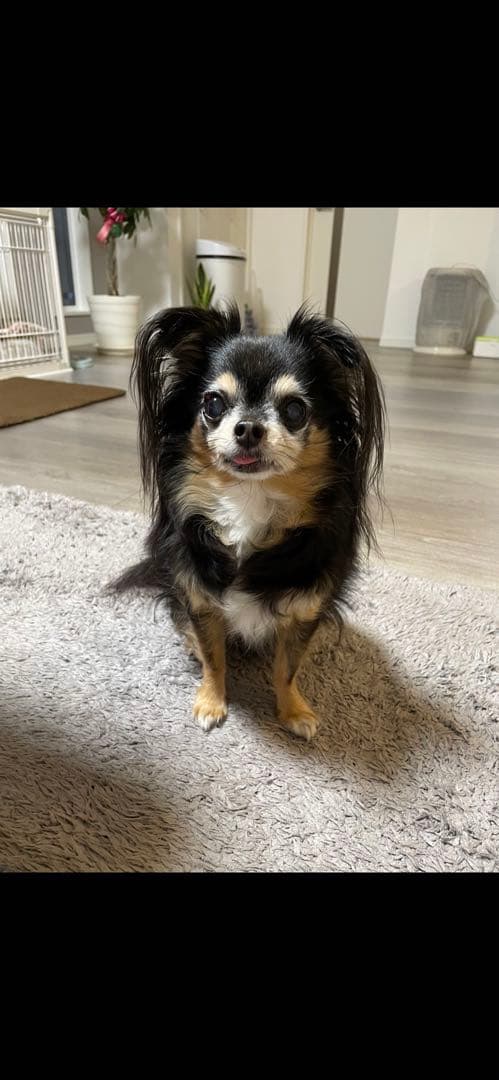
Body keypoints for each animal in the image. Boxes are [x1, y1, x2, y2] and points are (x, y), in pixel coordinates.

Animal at [114, 304, 384, 740]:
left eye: (295, 410)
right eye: (213, 404)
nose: (248, 428)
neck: (250, 499)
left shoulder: (304, 610)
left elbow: (287, 669)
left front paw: (293, 711)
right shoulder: (200, 600)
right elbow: (214, 657)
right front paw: (211, 701)